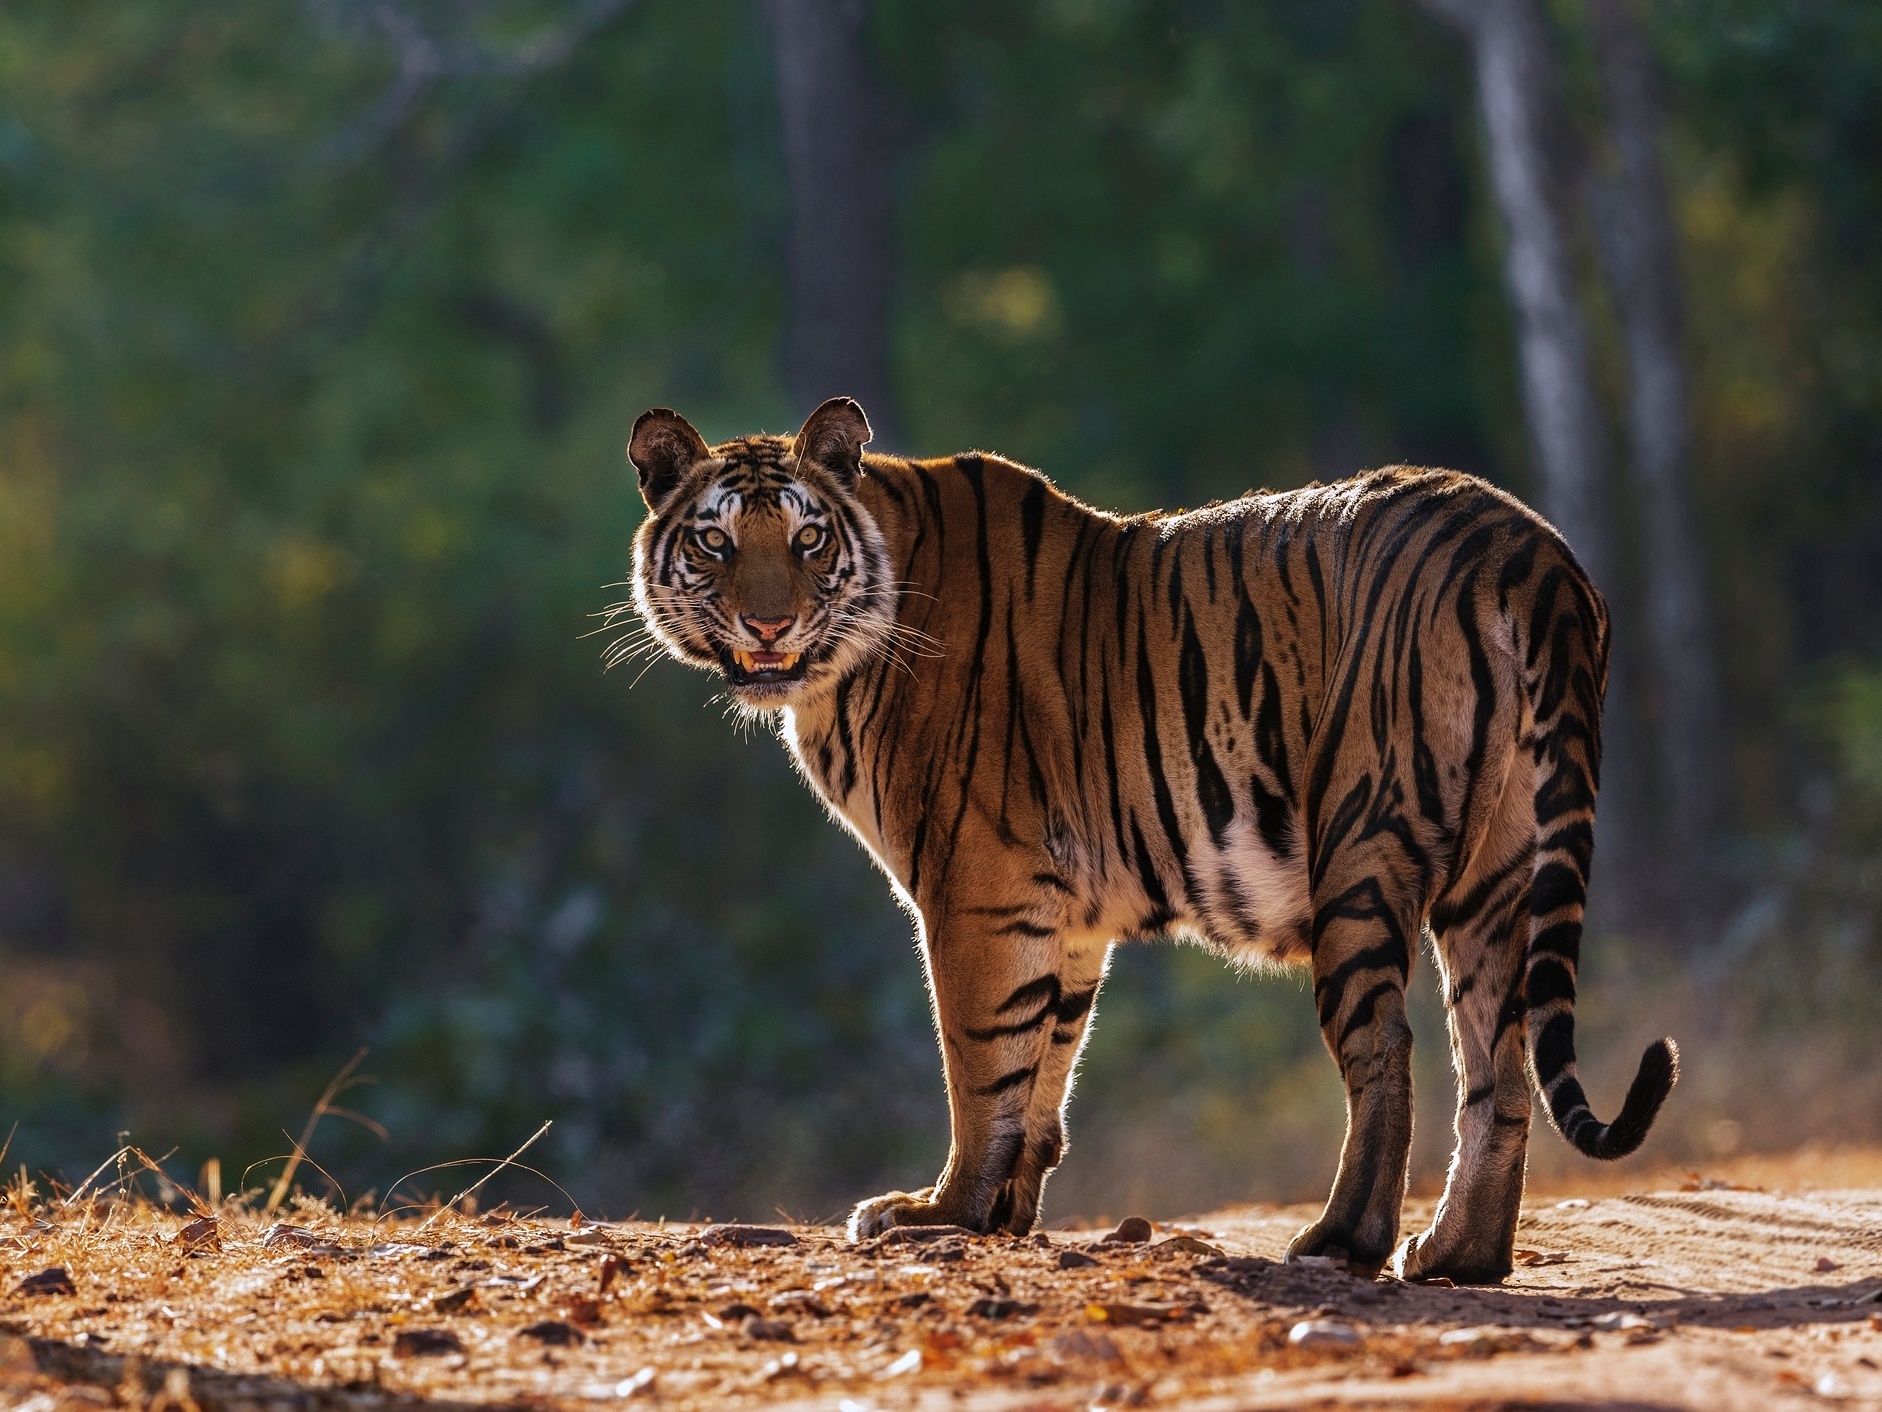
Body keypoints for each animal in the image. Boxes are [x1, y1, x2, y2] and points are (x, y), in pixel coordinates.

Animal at [628, 395, 1678, 1280]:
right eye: (716, 542)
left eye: (809, 539)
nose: (770, 623)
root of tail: (1525, 547)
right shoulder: (1059, 911)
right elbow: (1044, 1059)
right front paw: (1003, 1212)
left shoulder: (975, 886)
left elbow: (979, 1057)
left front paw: (943, 1213)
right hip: (1498, 873)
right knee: (1497, 1066)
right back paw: (1460, 1255)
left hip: (1363, 840)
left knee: (1388, 1047)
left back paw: (1344, 1240)